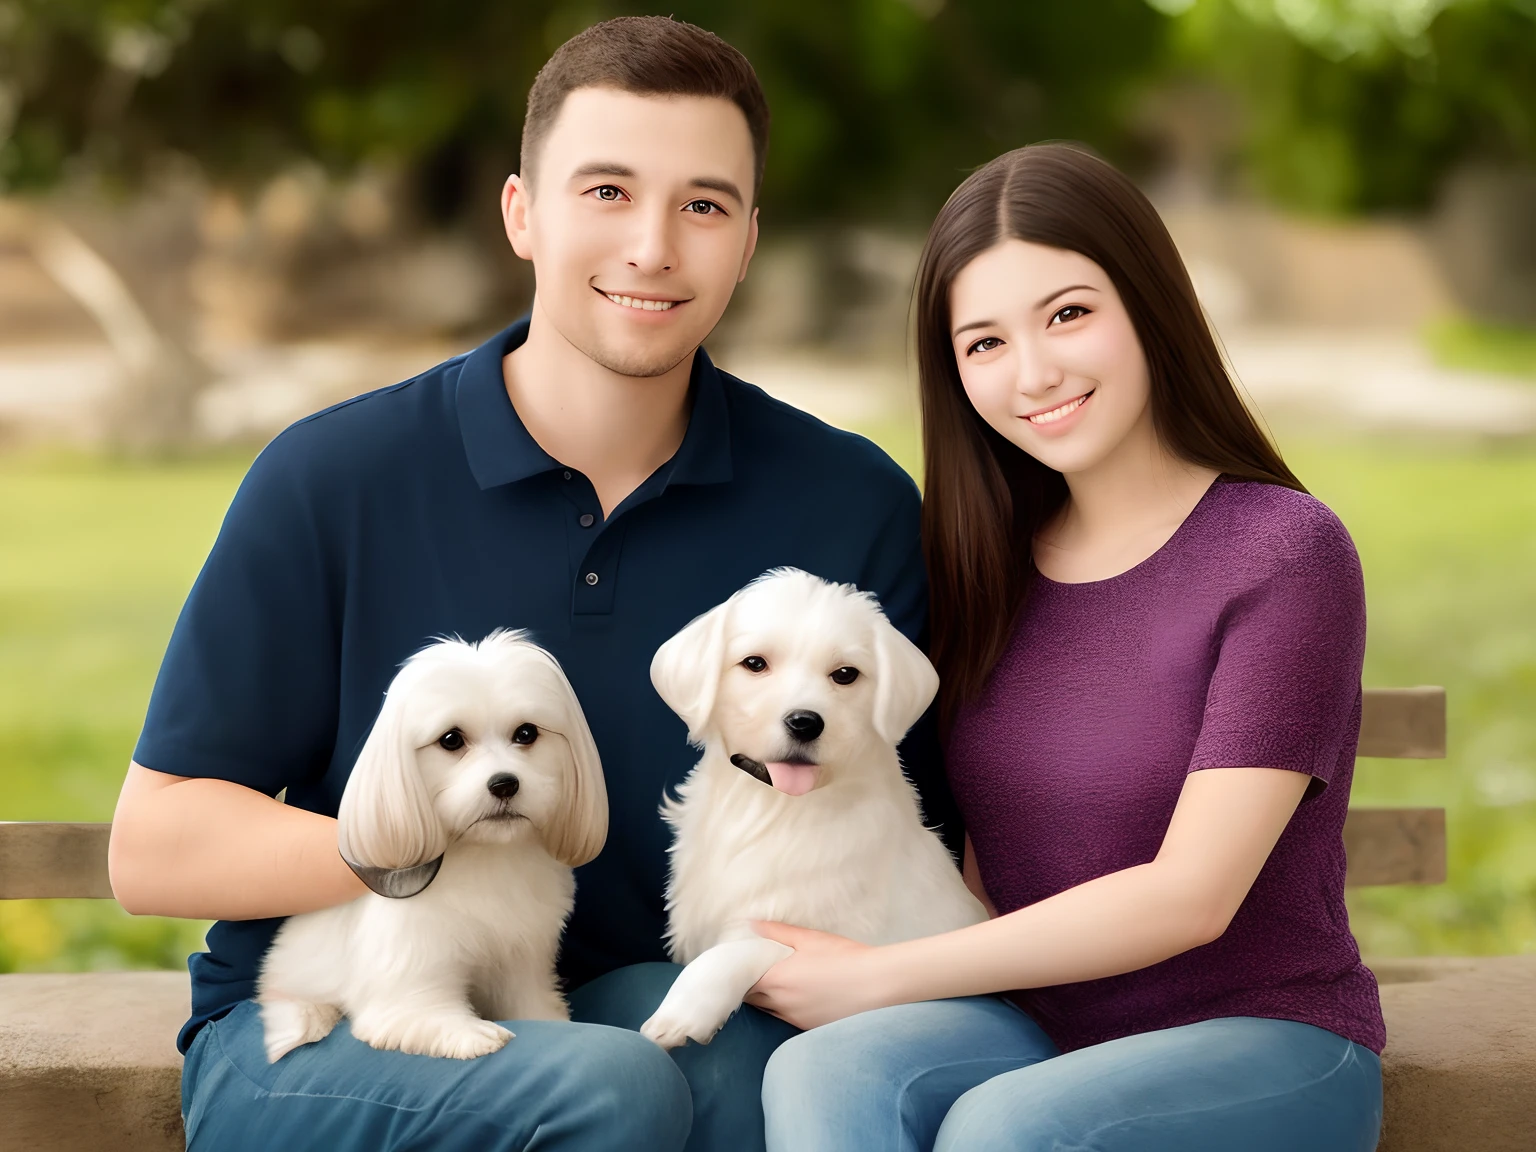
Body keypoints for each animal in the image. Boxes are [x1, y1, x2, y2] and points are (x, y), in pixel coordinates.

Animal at [256, 632, 605, 1062]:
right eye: (451, 740)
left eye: (527, 733)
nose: (505, 783)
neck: (484, 855)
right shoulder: (414, 960)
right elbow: (420, 1012)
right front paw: (470, 1033)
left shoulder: (522, 956)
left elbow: (529, 999)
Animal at [638, 571, 983, 1056]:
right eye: (754, 664)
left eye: (845, 675)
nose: (805, 722)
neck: (779, 810)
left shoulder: (842, 944)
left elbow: (739, 949)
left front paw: (684, 1011)